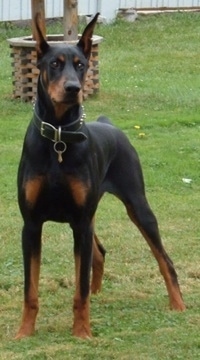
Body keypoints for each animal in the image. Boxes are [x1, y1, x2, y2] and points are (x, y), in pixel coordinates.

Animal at [15, 14, 184, 340]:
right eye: (54, 64)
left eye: (81, 64)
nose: (72, 88)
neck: (58, 139)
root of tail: (109, 124)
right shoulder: (31, 224)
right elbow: (30, 290)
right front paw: (24, 333)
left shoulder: (79, 222)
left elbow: (79, 287)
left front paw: (82, 332)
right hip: (89, 218)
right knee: (99, 254)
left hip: (136, 206)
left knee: (164, 260)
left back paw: (178, 304)